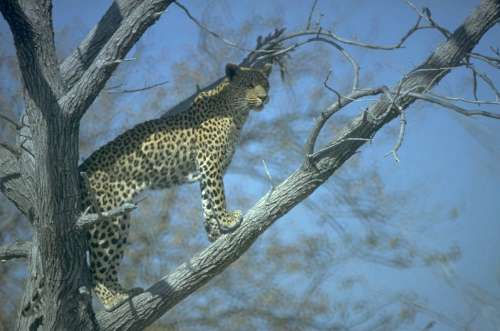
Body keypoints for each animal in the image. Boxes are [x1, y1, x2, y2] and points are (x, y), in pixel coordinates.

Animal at [78, 63, 274, 314]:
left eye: (266, 84)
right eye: (249, 85)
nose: (264, 97)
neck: (236, 112)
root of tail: (81, 168)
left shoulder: (207, 168)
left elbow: (207, 200)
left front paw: (213, 230)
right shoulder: (209, 162)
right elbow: (218, 195)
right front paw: (228, 219)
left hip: (119, 220)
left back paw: (125, 293)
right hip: (105, 220)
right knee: (97, 267)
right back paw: (113, 301)